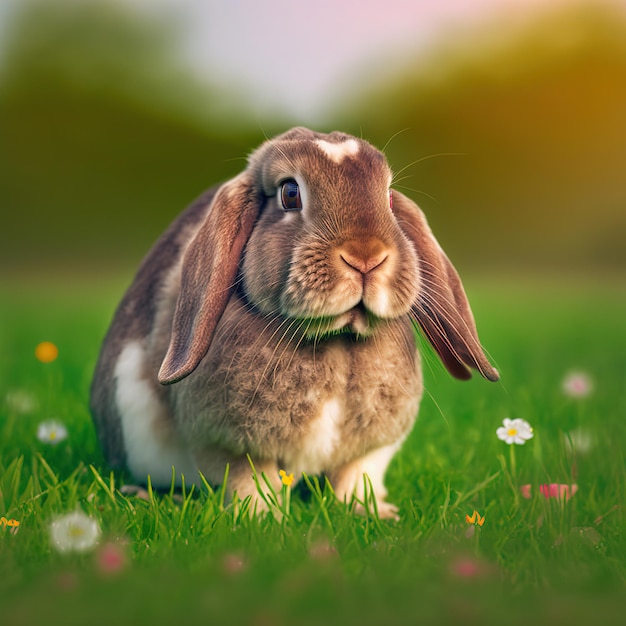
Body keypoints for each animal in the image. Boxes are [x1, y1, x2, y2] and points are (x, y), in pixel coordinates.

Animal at [89, 125, 498, 516]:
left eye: (388, 197)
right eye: (289, 193)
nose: (366, 256)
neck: (335, 342)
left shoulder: (372, 451)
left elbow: (355, 479)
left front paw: (373, 514)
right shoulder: (231, 446)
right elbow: (250, 483)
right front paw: (261, 519)